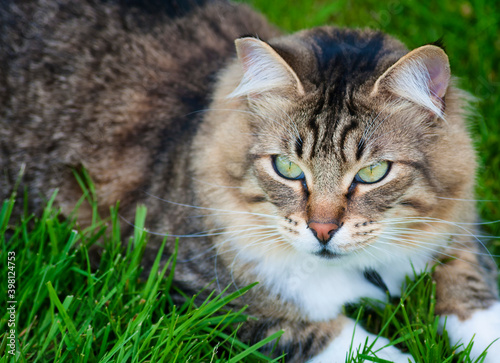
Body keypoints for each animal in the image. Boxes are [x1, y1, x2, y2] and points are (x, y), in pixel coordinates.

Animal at [0, 0, 500, 362]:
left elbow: (477, 301)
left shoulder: (461, 234)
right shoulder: (205, 292)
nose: (322, 230)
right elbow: (340, 339)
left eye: (373, 173)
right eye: (287, 168)